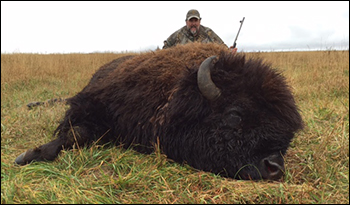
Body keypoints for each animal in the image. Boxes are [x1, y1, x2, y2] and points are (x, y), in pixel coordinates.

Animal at [14, 42, 304, 180]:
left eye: (288, 135)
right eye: (235, 114)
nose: (274, 168)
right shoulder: (91, 108)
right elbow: (74, 134)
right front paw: (26, 156)